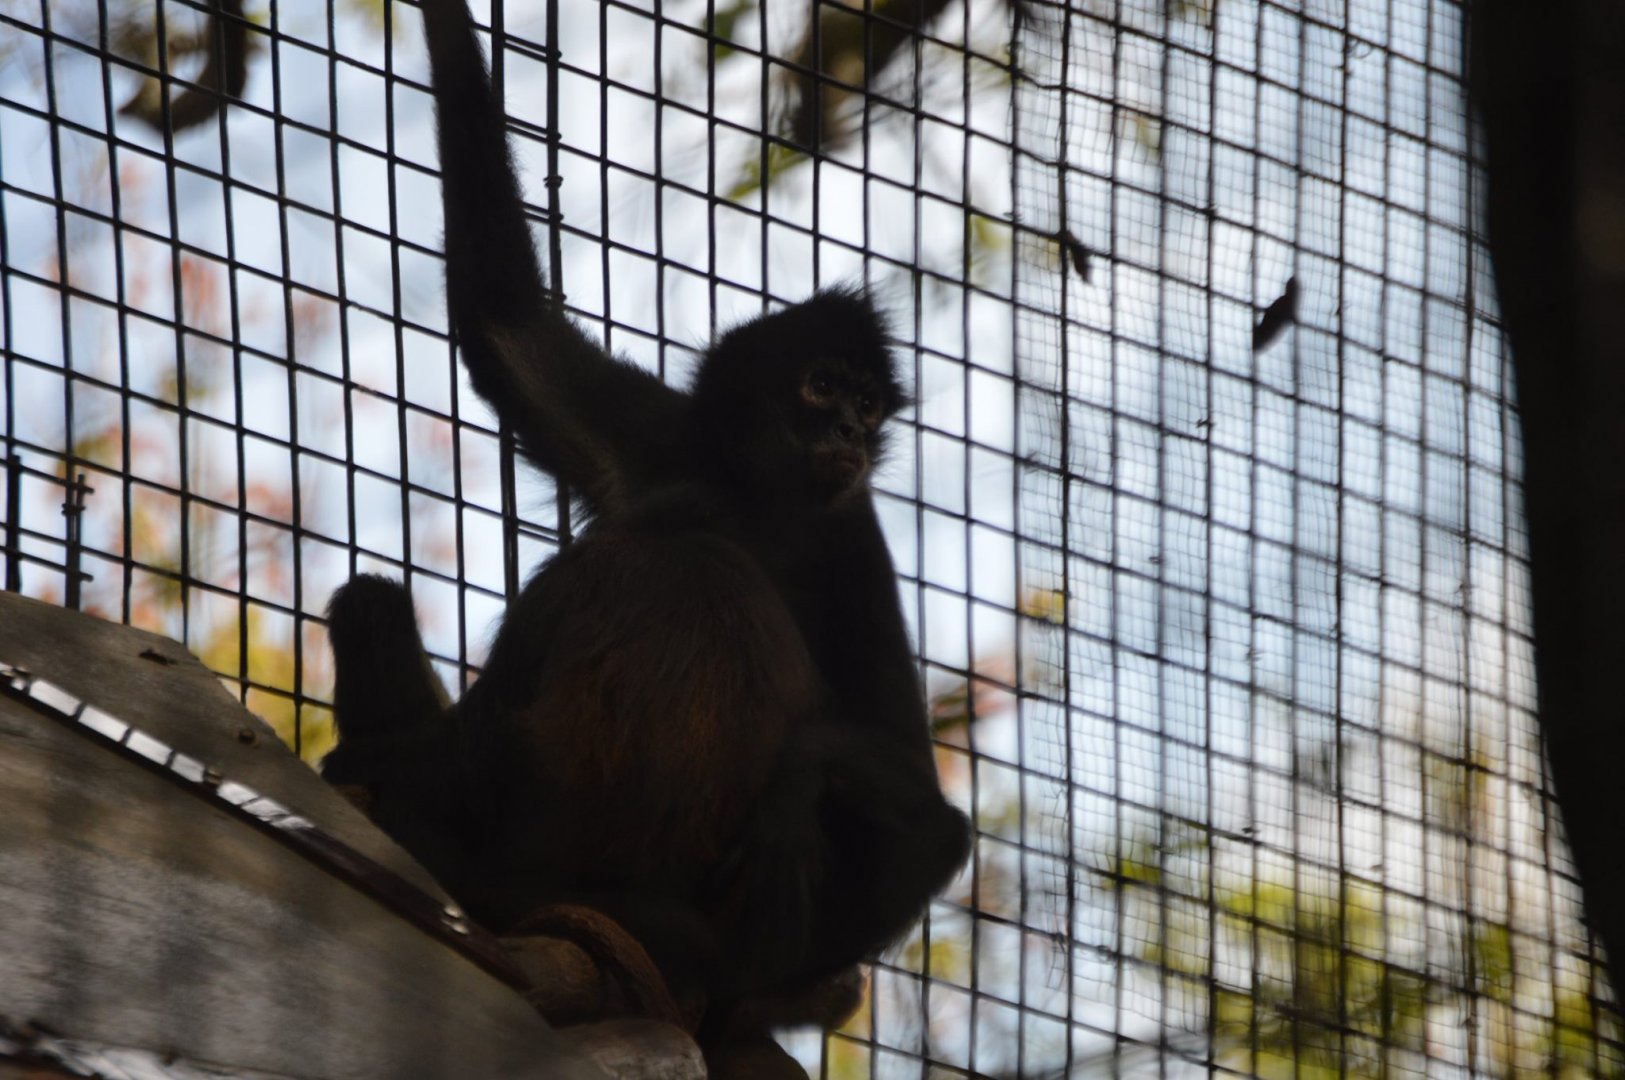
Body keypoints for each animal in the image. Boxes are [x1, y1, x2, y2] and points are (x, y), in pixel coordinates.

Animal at [321, 0, 972, 1046]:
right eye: (820, 387)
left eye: (869, 405)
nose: (847, 430)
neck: (750, 502)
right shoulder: (671, 440)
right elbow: (505, 324)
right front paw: (445, 22)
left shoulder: (848, 529)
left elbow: (909, 774)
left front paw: (799, 780)